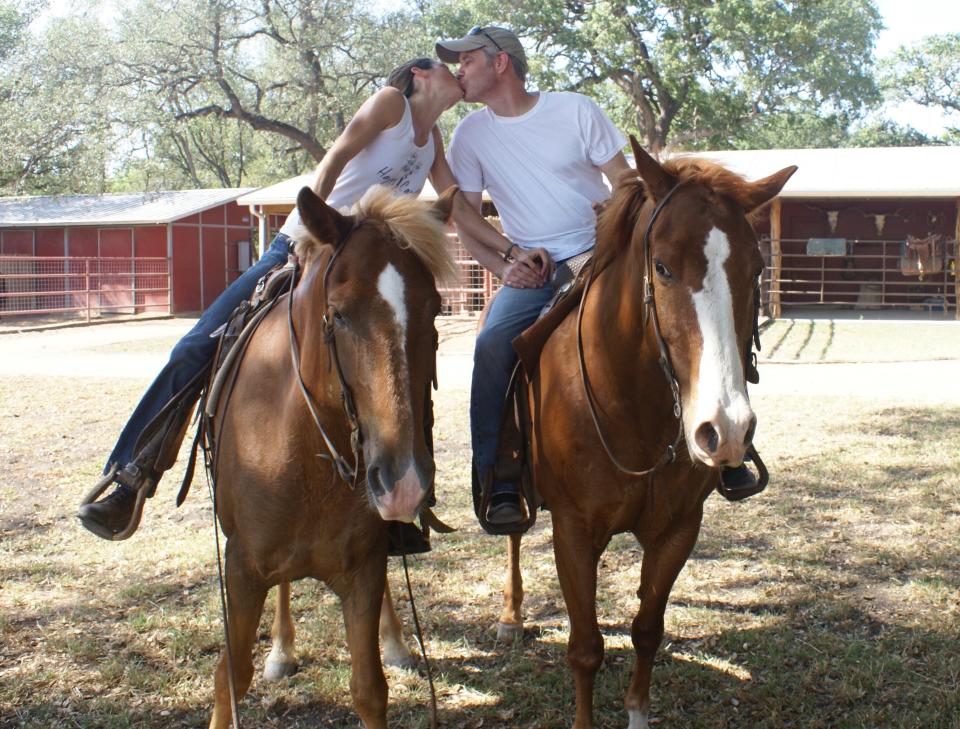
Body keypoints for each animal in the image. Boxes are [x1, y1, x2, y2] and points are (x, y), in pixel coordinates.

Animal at [205, 183, 458, 728]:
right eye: (338, 313)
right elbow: (230, 677)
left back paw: (396, 642)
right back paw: (281, 651)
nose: (404, 482)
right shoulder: (241, 569)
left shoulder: (364, 567)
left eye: (433, 310)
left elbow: (369, 688)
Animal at [498, 141, 800, 728]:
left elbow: (647, 630)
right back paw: (510, 614)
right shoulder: (572, 532)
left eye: (756, 269)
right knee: (515, 534)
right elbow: (586, 648)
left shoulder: (678, 529)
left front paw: (638, 710)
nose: (725, 430)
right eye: (661, 266)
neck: (632, 410)